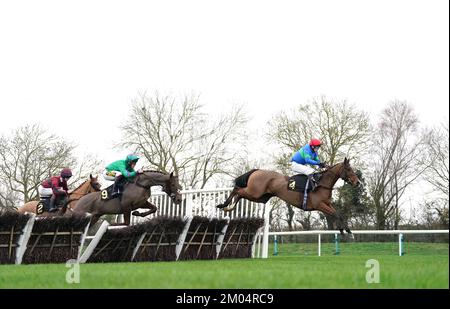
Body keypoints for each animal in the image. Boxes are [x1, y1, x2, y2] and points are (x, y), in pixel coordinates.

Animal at [218, 158, 362, 235]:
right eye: (348, 169)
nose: (358, 182)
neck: (321, 183)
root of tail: (257, 170)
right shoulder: (319, 205)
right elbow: (335, 214)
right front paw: (345, 231)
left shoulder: (327, 204)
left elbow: (338, 213)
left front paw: (346, 231)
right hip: (255, 192)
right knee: (237, 190)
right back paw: (224, 205)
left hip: (261, 197)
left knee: (240, 194)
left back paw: (228, 207)